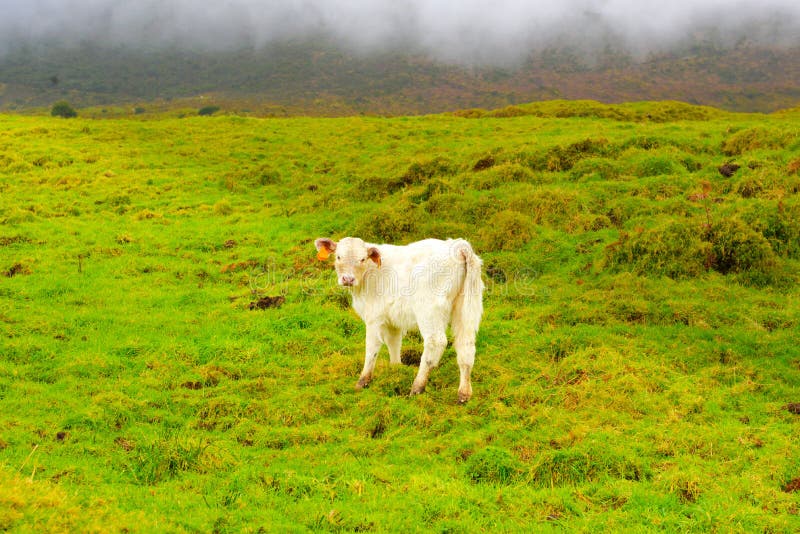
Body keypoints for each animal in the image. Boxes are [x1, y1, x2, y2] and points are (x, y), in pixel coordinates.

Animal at [316, 237, 484, 404]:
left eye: (362, 259)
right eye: (338, 257)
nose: (348, 279)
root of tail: (458, 245)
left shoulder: (373, 317)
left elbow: (372, 347)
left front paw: (362, 381)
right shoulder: (392, 320)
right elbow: (393, 342)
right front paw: (396, 370)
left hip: (429, 310)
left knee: (436, 342)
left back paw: (417, 387)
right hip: (466, 309)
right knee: (465, 345)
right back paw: (464, 393)